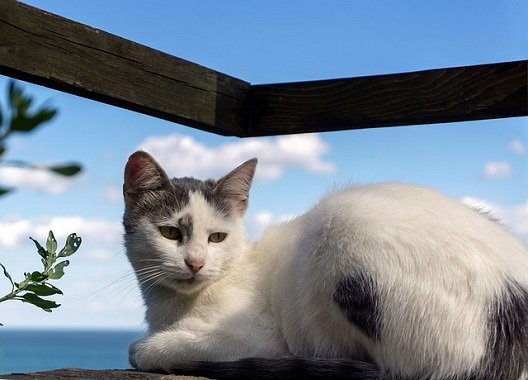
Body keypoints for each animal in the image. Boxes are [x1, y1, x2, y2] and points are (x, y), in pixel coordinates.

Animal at [124, 151, 528, 380]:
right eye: (171, 232)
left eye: (217, 238)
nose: (195, 262)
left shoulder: (259, 339)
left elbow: (147, 349)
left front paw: (149, 348)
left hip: (343, 225)